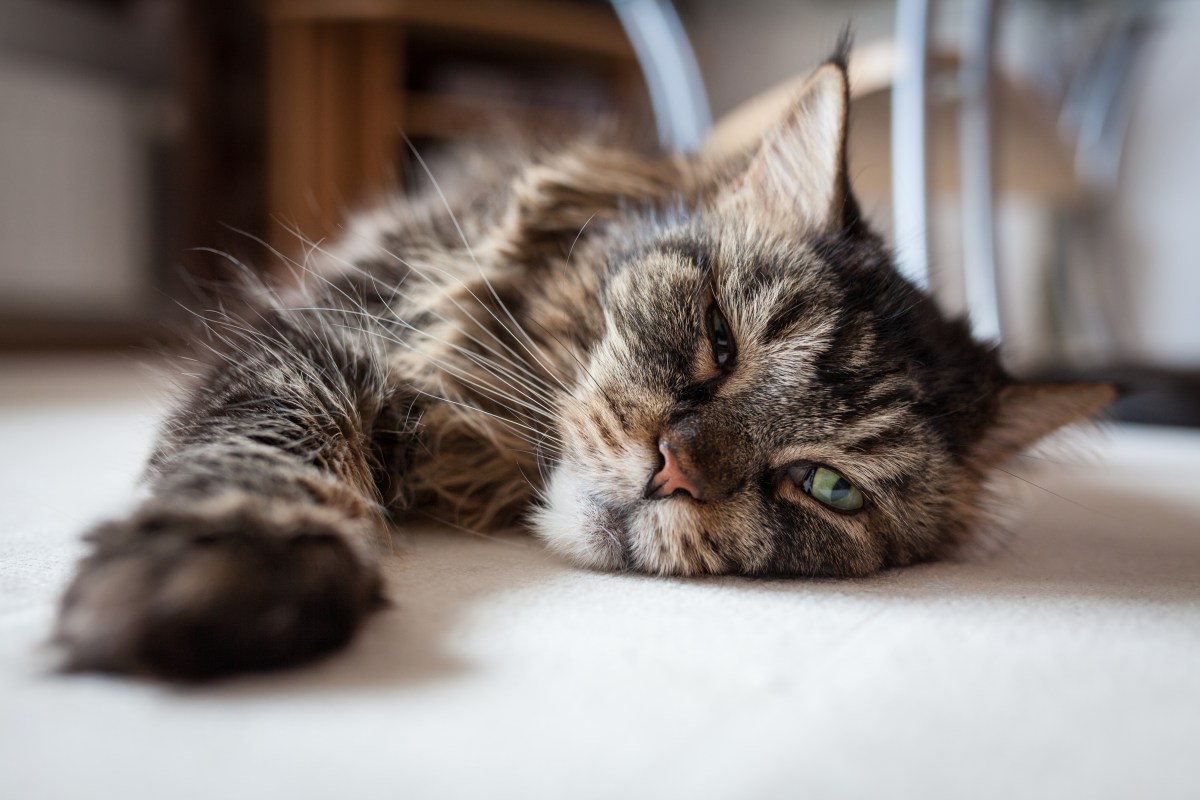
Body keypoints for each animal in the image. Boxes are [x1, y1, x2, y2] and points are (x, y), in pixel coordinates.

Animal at [51, 54, 1108, 681]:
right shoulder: (324, 335)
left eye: (827, 486)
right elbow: (271, 442)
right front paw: (228, 563)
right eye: (720, 338)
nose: (673, 468)